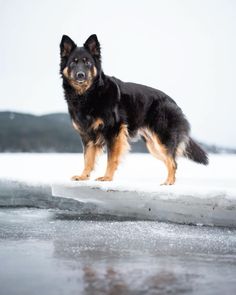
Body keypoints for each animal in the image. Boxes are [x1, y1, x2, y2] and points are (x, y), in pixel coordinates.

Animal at [59, 34, 208, 185]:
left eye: (87, 62)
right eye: (73, 63)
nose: (80, 75)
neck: (89, 94)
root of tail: (174, 102)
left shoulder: (114, 131)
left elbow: (111, 158)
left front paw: (107, 177)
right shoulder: (87, 136)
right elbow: (87, 158)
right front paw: (83, 176)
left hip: (161, 141)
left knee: (173, 162)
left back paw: (169, 182)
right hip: (154, 146)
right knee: (171, 161)